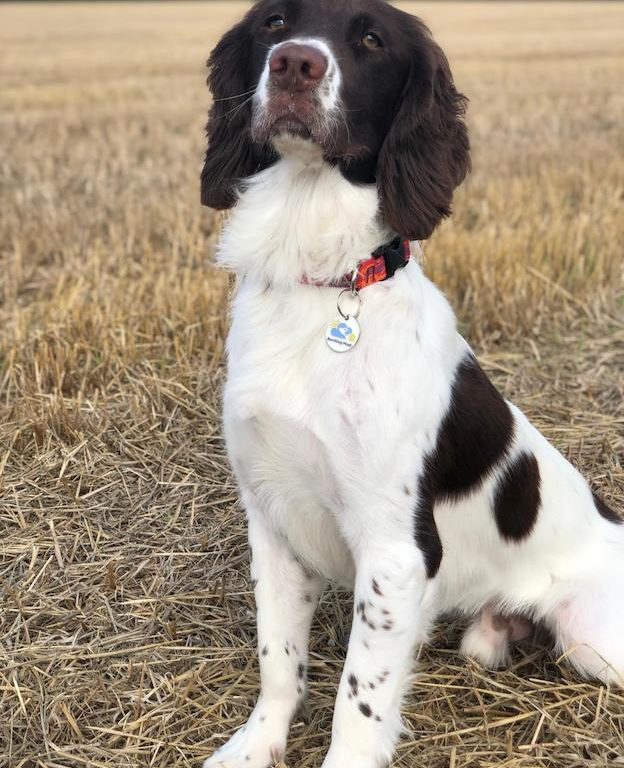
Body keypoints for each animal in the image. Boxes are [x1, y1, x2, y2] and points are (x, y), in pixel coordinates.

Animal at [201, 1, 624, 768]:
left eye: (371, 39)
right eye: (273, 22)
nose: (294, 63)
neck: (323, 283)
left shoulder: (396, 552)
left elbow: (359, 698)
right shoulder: (272, 521)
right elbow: (278, 660)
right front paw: (255, 746)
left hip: (594, 637)